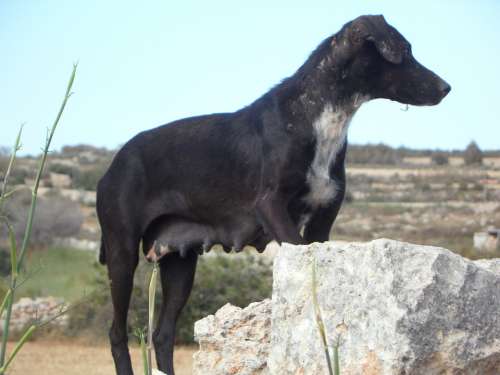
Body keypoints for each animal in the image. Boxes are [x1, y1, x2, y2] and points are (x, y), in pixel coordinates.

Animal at [95, 15, 452, 375]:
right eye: (403, 50)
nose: (446, 87)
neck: (318, 119)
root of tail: (113, 166)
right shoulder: (272, 208)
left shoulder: (322, 222)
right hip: (122, 253)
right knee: (116, 332)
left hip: (180, 263)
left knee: (162, 333)